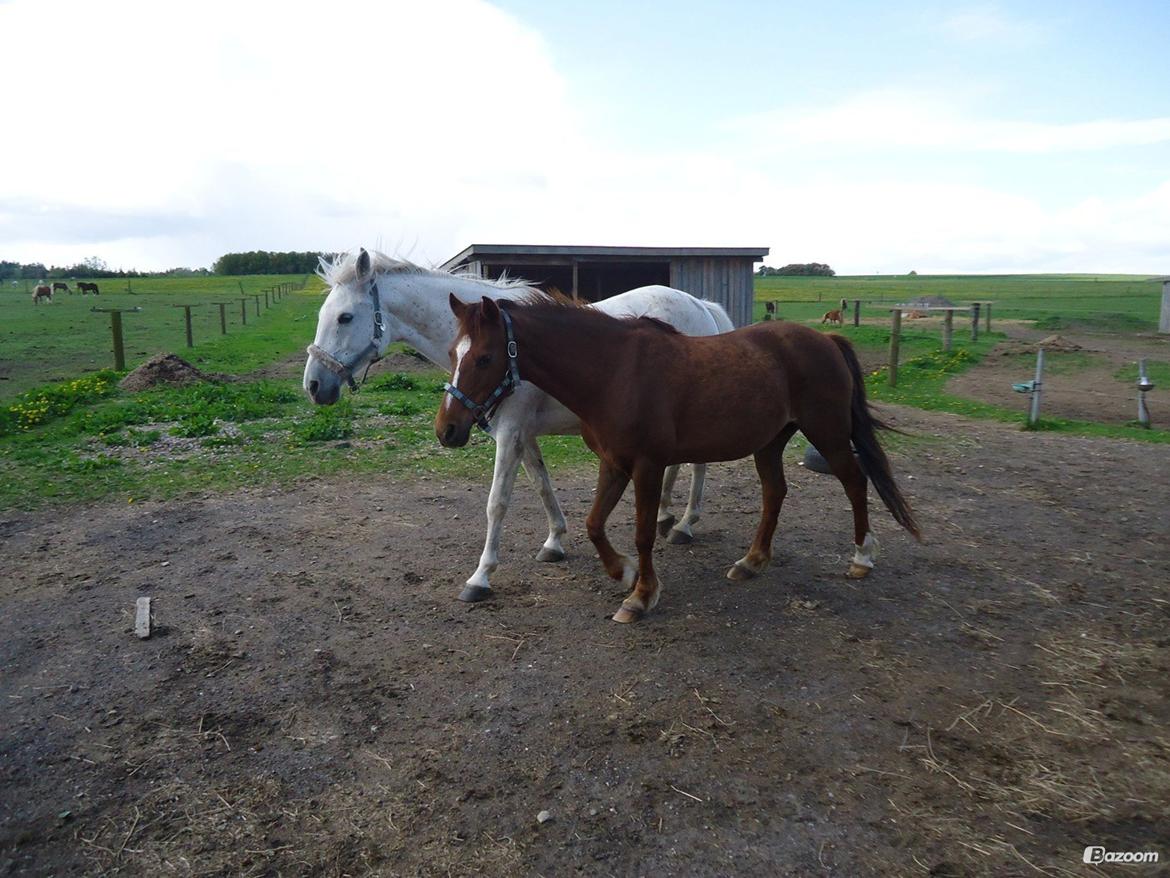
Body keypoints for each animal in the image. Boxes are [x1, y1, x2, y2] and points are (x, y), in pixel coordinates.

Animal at [303, 248, 734, 602]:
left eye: (345, 317)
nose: (314, 386)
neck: (511, 353)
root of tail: (701, 305)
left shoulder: (509, 435)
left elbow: (497, 503)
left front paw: (480, 577)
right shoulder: (521, 435)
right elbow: (541, 484)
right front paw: (555, 542)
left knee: (698, 465)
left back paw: (684, 525)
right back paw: (664, 516)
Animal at [436, 295, 921, 623]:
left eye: (485, 358)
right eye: (452, 353)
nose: (448, 430)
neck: (614, 372)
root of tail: (827, 339)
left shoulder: (648, 466)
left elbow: (643, 532)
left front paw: (641, 595)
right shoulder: (613, 463)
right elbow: (594, 525)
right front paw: (624, 573)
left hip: (829, 435)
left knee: (855, 482)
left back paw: (861, 557)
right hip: (770, 442)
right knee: (774, 493)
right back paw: (752, 561)